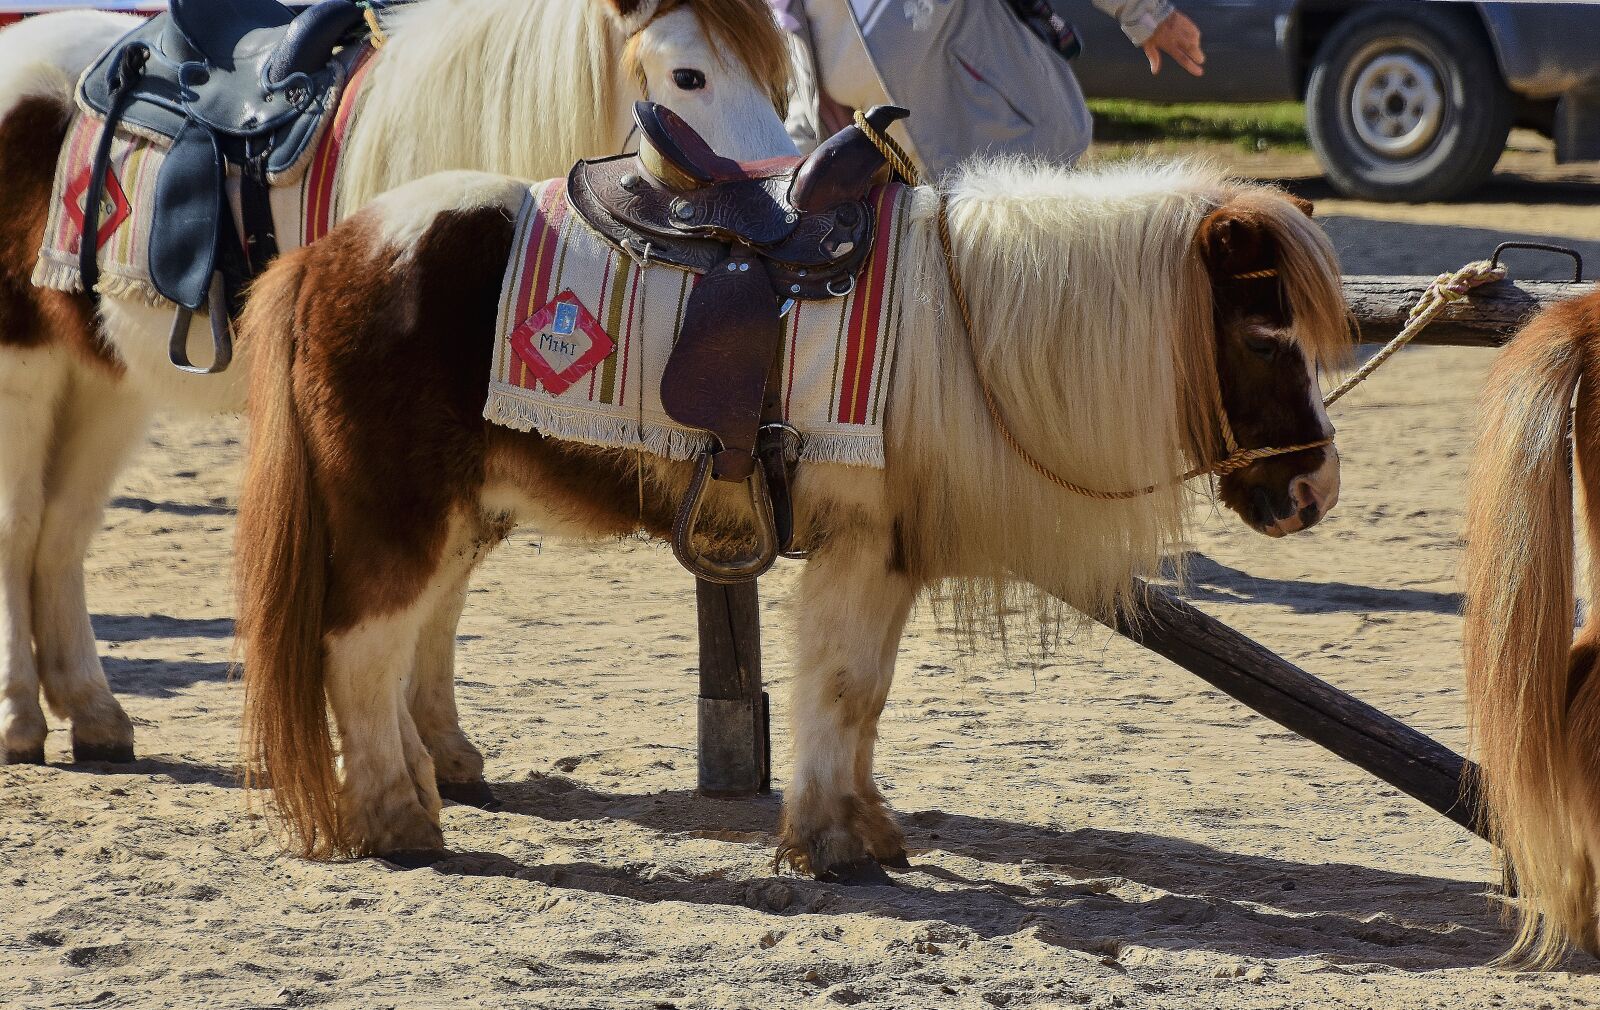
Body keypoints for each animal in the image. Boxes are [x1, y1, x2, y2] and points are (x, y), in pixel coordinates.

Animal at [0, 0, 795, 774]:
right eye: (688, 76)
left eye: (778, 75)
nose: (783, 197)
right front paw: (403, 752)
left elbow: (446, 586)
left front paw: (441, 743)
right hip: (24, 369)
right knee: (20, 525)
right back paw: (20, 720)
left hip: (106, 385)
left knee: (63, 530)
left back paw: (93, 713)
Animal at [232, 156, 1350, 874]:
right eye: (1264, 335)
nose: (1315, 492)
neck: (962, 328)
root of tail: (330, 252)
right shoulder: (857, 551)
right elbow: (843, 686)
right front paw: (834, 844)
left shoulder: (888, 555)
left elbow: (866, 695)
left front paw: (858, 825)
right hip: (399, 511)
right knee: (361, 651)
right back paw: (396, 819)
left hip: (456, 514)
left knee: (406, 645)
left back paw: (430, 783)